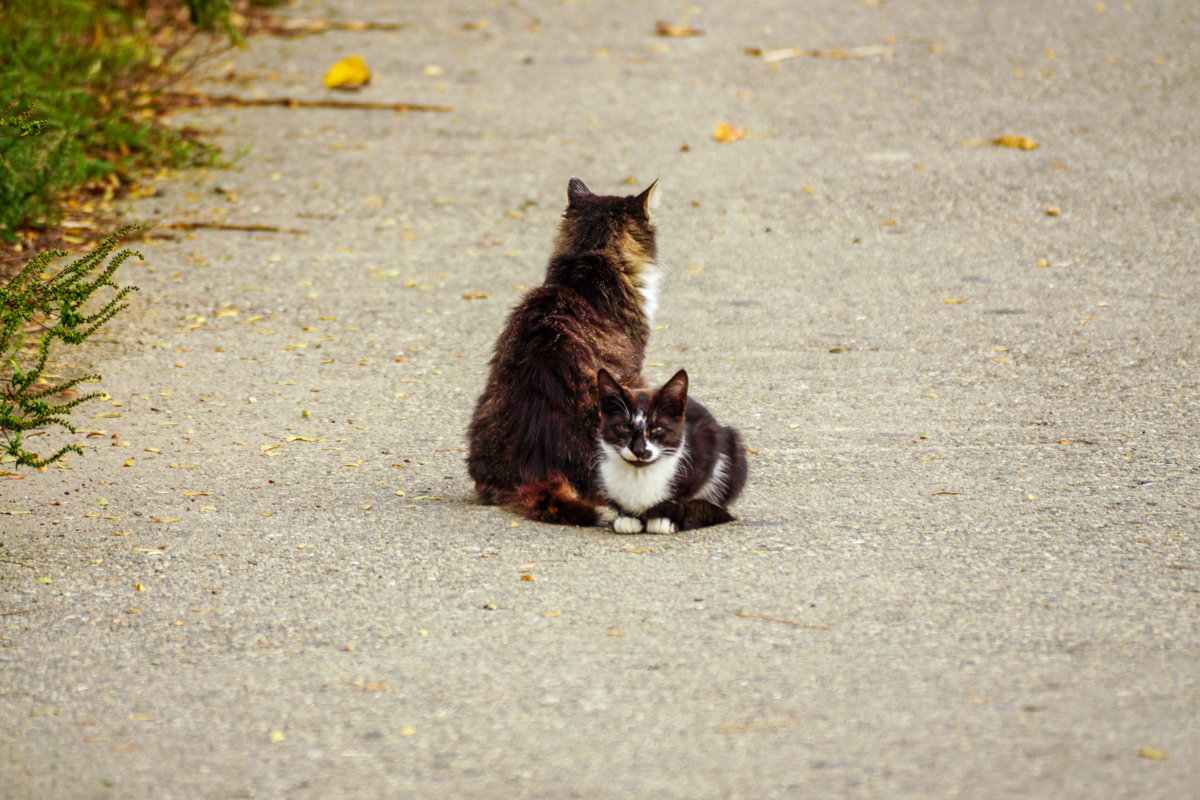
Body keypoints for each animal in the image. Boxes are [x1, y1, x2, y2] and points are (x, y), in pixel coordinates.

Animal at [595, 367, 744, 532]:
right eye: (624, 427)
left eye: (657, 429)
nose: (639, 450)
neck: (639, 474)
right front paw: (627, 517)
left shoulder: (707, 445)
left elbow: (686, 493)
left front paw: (663, 517)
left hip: (733, 446)